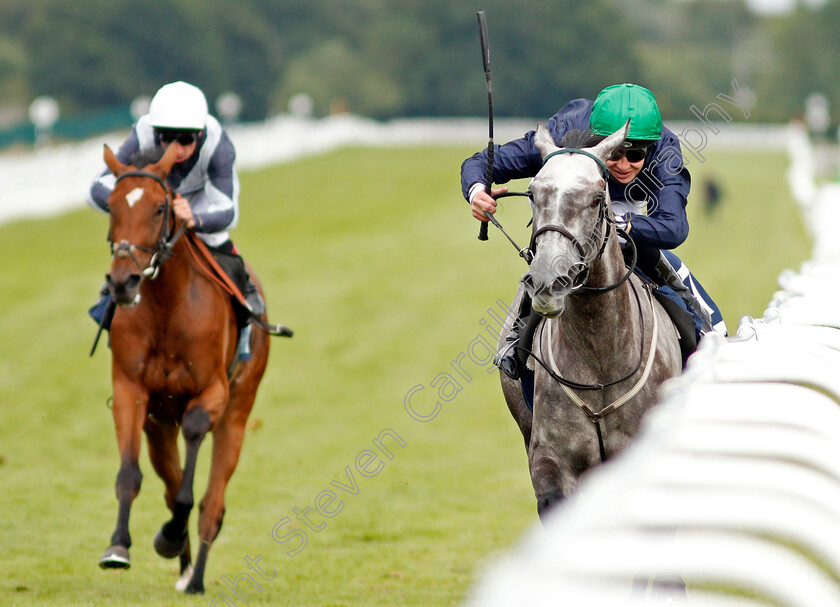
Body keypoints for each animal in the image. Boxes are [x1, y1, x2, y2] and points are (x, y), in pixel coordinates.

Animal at [95, 144, 274, 592]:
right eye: (111, 206)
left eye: (160, 208)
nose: (123, 282)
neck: (167, 308)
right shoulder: (131, 391)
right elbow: (130, 474)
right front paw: (118, 547)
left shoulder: (212, 392)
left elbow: (192, 467)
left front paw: (171, 533)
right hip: (159, 425)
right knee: (171, 478)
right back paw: (185, 565)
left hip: (238, 411)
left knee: (212, 501)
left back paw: (196, 577)